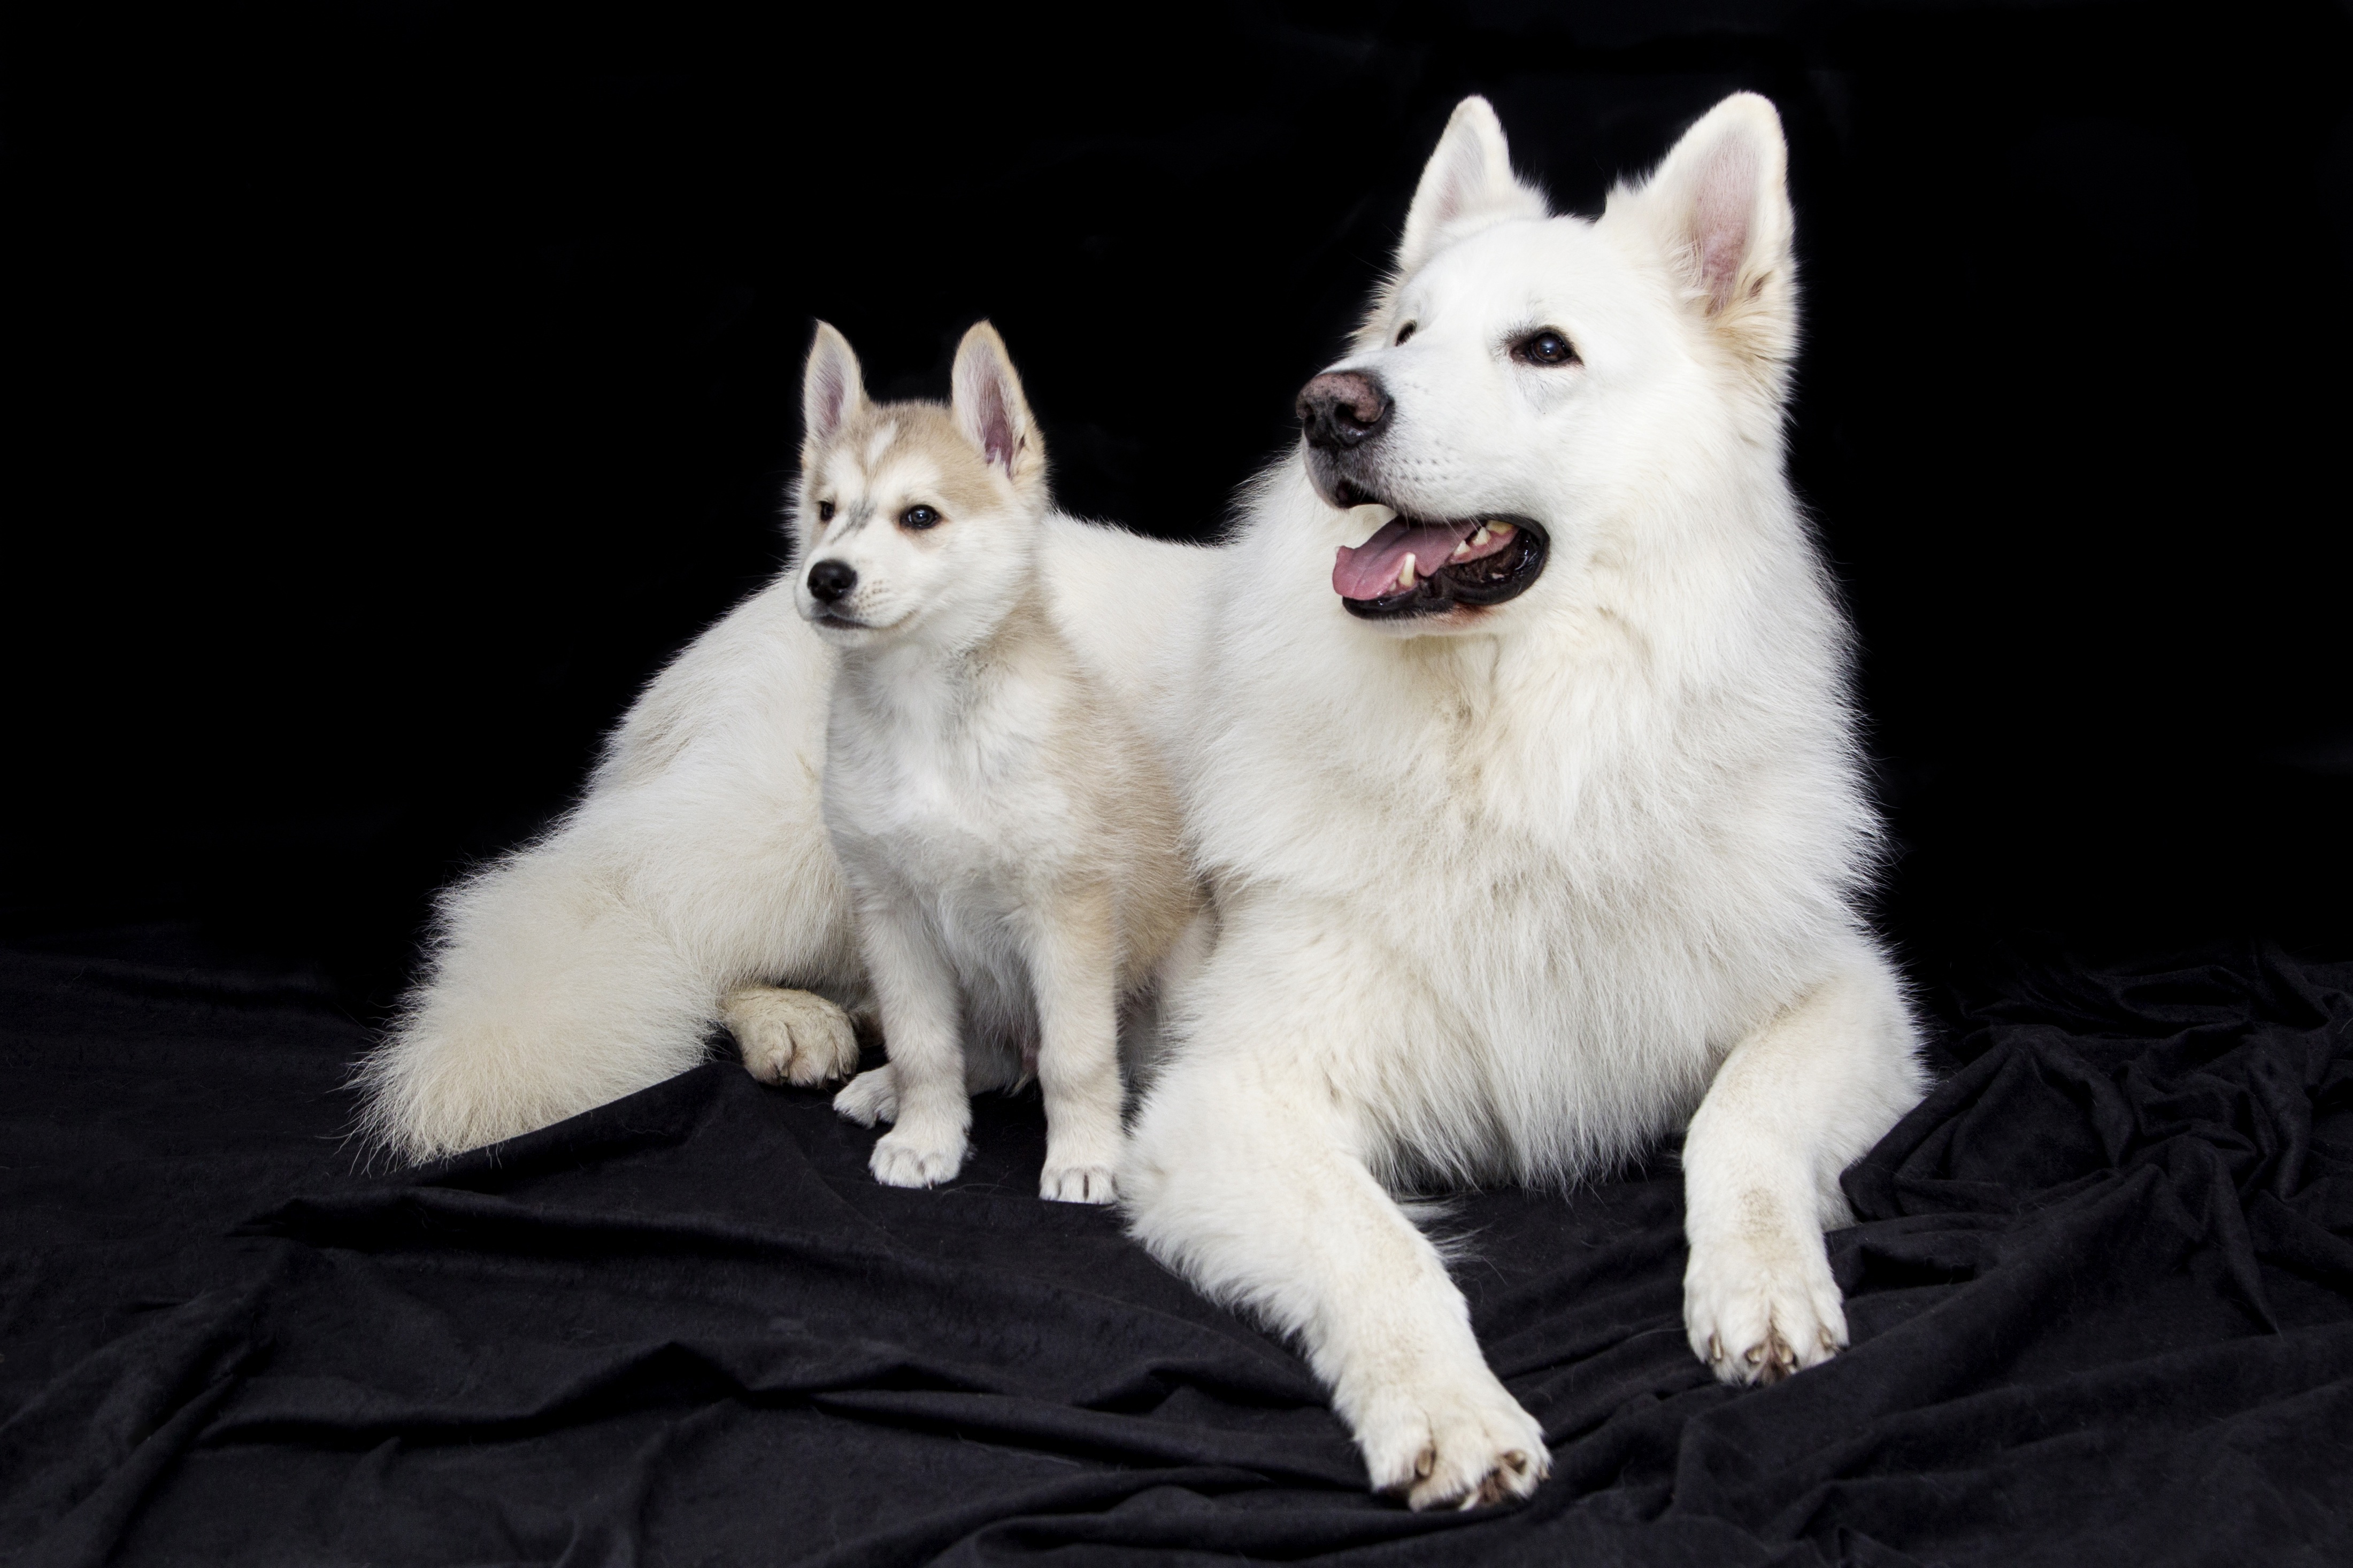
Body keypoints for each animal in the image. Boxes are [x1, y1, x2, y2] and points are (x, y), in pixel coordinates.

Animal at [795, 322, 1195, 1203]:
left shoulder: (1066, 913)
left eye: (919, 516)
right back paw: (883, 1091)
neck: (926, 718)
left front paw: (1084, 1158)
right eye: (825, 511)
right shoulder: (893, 916)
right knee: (981, 1057)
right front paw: (925, 1138)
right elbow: (923, 1049)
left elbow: (1079, 1058)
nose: (825, 577)